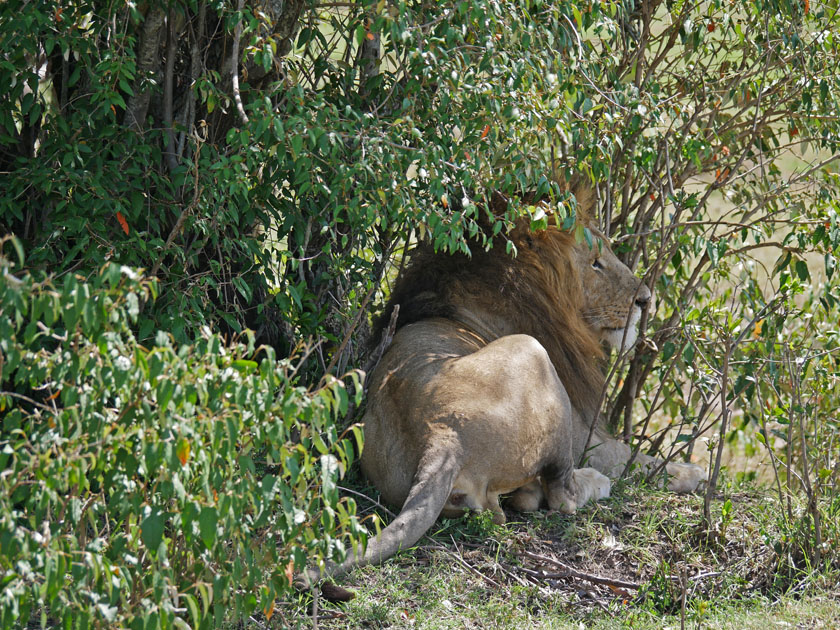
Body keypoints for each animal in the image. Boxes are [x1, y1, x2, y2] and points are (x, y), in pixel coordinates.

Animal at [298, 184, 704, 588]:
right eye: (595, 262)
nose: (645, 300)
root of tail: (441, 439)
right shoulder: (584, 436)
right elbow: (636, 459)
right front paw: (693, 472)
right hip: (534, 354)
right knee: (563, 495)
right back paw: (593, 483)